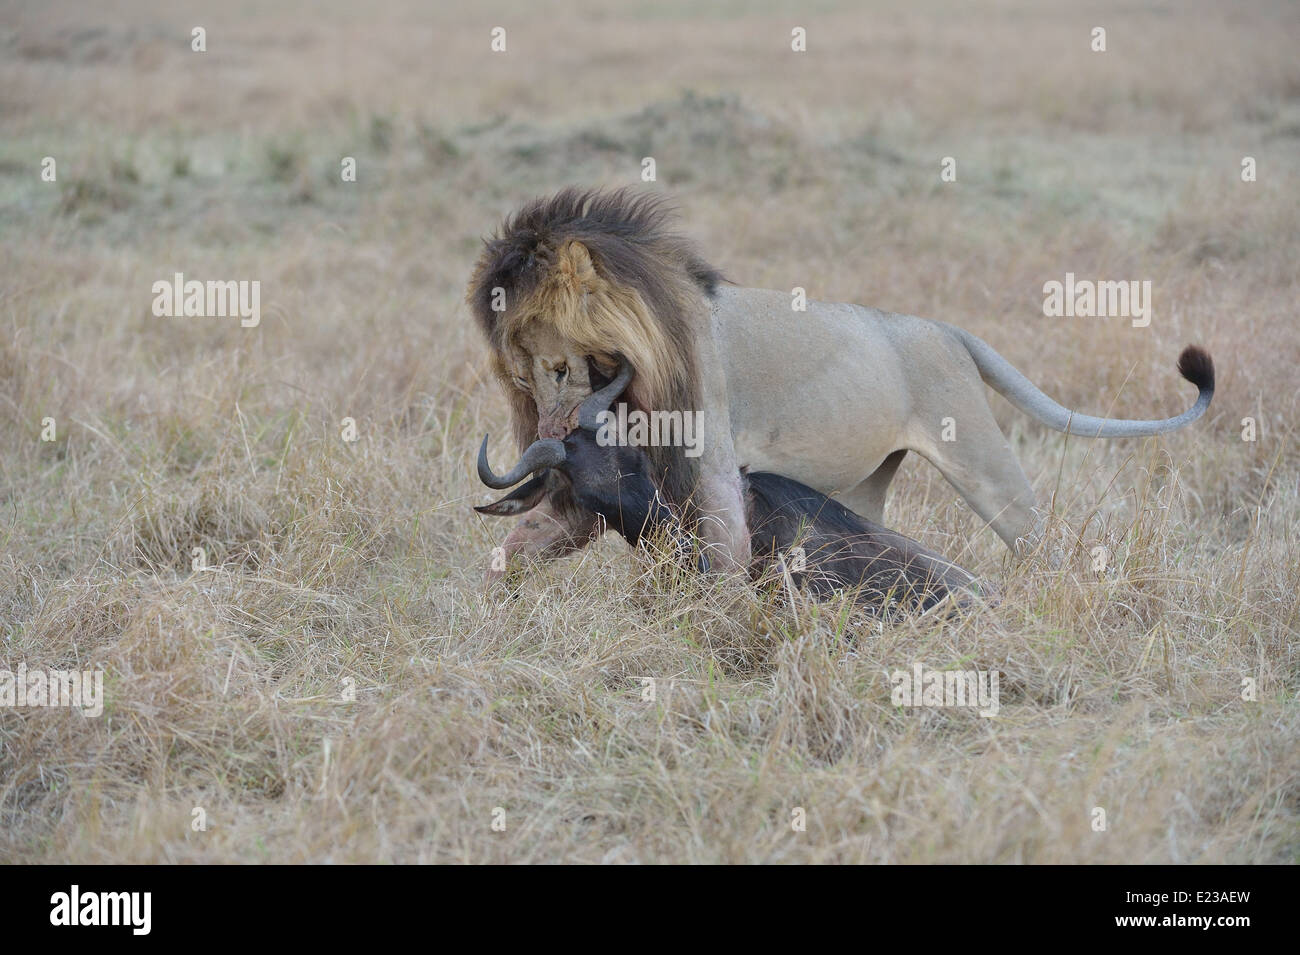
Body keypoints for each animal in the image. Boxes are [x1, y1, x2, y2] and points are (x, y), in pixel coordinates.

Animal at [467, 187, 1215, 575]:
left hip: (983, 460)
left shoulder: (707, 458)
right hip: (867, 486)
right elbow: (531, 538)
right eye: (520, 375)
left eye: (558, 365)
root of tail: (946, 330)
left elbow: (719, 555)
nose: (552, 428)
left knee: (1042, 547)